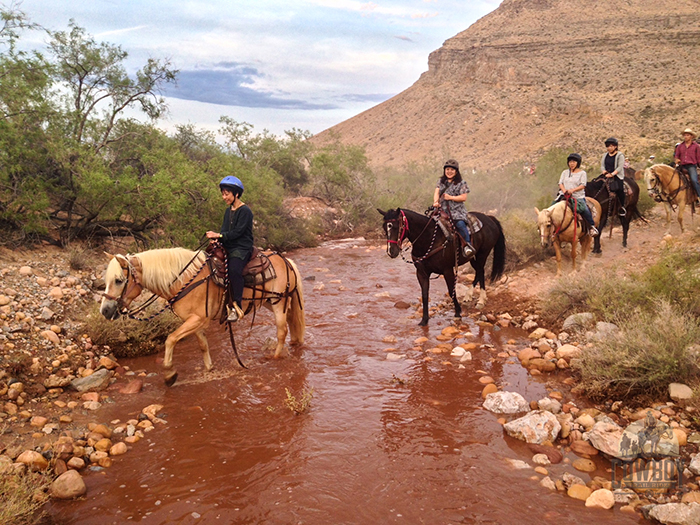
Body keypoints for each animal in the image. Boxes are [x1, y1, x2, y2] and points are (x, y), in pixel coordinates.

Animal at [100, 246, 304, 384]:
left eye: (118, 280)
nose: (105, 311)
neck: (183, 280)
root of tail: (286, 261)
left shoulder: (197, 319)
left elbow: (170, 339)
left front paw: (169, 374)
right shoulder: (195, 321)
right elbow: (203, 345)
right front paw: (209, 369)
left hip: (279, 303)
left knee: (281, 331)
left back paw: (275, 358)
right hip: (270, 302)